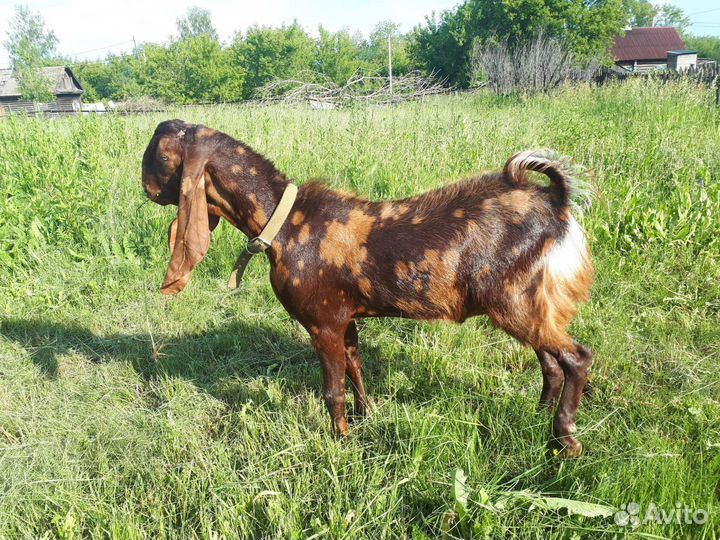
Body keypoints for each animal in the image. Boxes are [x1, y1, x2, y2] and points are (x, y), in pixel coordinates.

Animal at [142, 120, 594, 457]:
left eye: (158, 156)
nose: (145, 189)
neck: (284, 223)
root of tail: (555, 202)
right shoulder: (346, 318)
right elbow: (355, 368)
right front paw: (365, 417)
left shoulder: (322, 323)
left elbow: (332, 390)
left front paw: (340, 440)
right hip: (531, 303)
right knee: (551, 362)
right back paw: (538, 415)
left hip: (514, 301)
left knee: (576, 357)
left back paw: (564, 441)